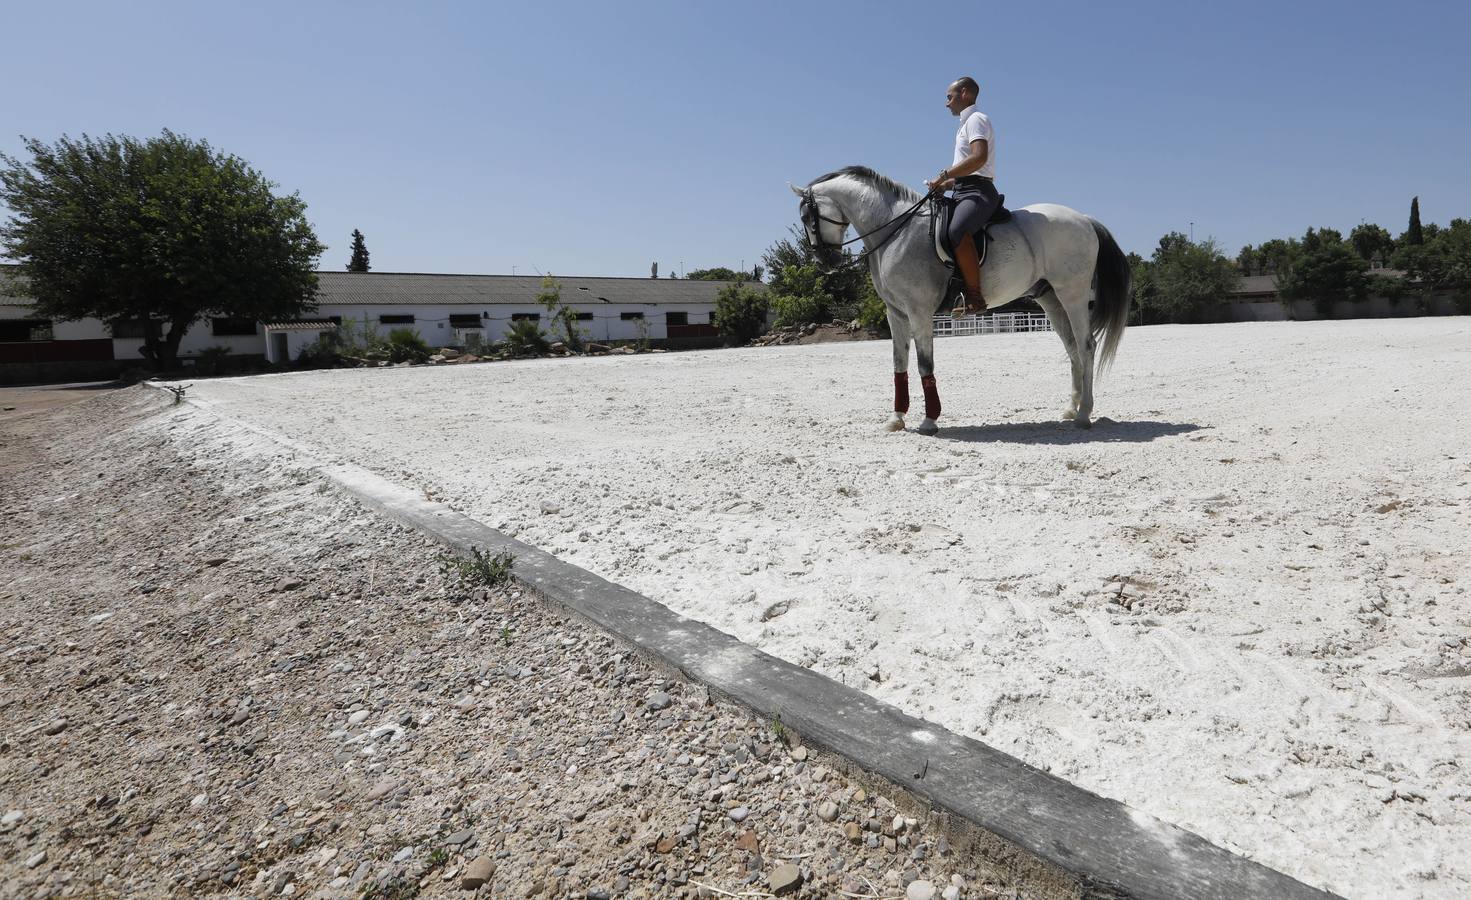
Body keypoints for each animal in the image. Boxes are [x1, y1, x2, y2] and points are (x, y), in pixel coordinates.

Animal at [794, 170, 1123, 438]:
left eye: (807, 218)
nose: (825, 262)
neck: (896, 231)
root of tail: (1085, 219)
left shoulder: (919, 311)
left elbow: (924, 363)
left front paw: (930, 421)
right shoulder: (896, 313)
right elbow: (899, 364)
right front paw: (896, 418)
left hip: (1073, 295)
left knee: (1086, 346)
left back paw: (1084, 414)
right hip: (1050, 300)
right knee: (1072, 349)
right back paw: (1070, 408)